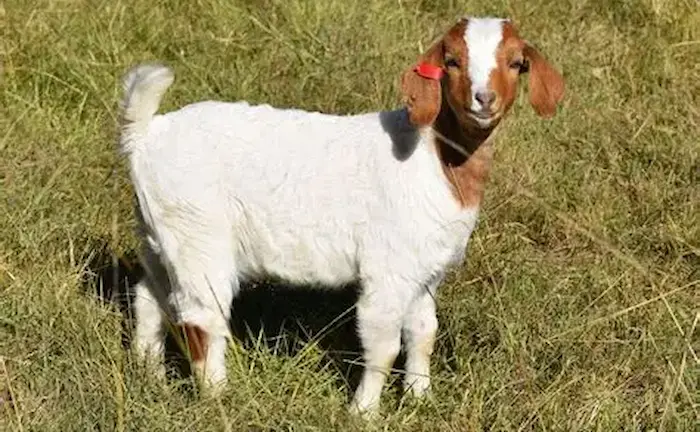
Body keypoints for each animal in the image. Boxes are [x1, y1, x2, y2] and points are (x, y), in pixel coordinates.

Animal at [120, 16, 564, 416]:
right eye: (452, 60)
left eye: (516, 62)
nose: (483, 99)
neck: (436, 157)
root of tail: (145, 136)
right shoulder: (389, 269)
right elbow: (384, 346)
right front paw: (364, 412)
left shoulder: (426, 271)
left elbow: (423, 332)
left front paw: (421, 399)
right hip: (199, 236)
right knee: (201, 318)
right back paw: (218, 397)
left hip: (160, 235)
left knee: (149, 297)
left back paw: (150, 377)